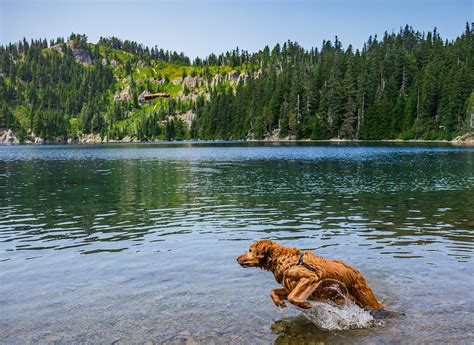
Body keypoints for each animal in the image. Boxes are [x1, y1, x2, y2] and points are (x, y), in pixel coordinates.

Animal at [237, 241, 386, 310]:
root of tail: (357, 273)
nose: (237, 258)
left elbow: (292, 297)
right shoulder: (290, 285)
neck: (283, 260)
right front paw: (278, 302)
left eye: (250, 250)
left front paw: (304, 305)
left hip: (364, 296)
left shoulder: (311, 277)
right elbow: (273, 291)